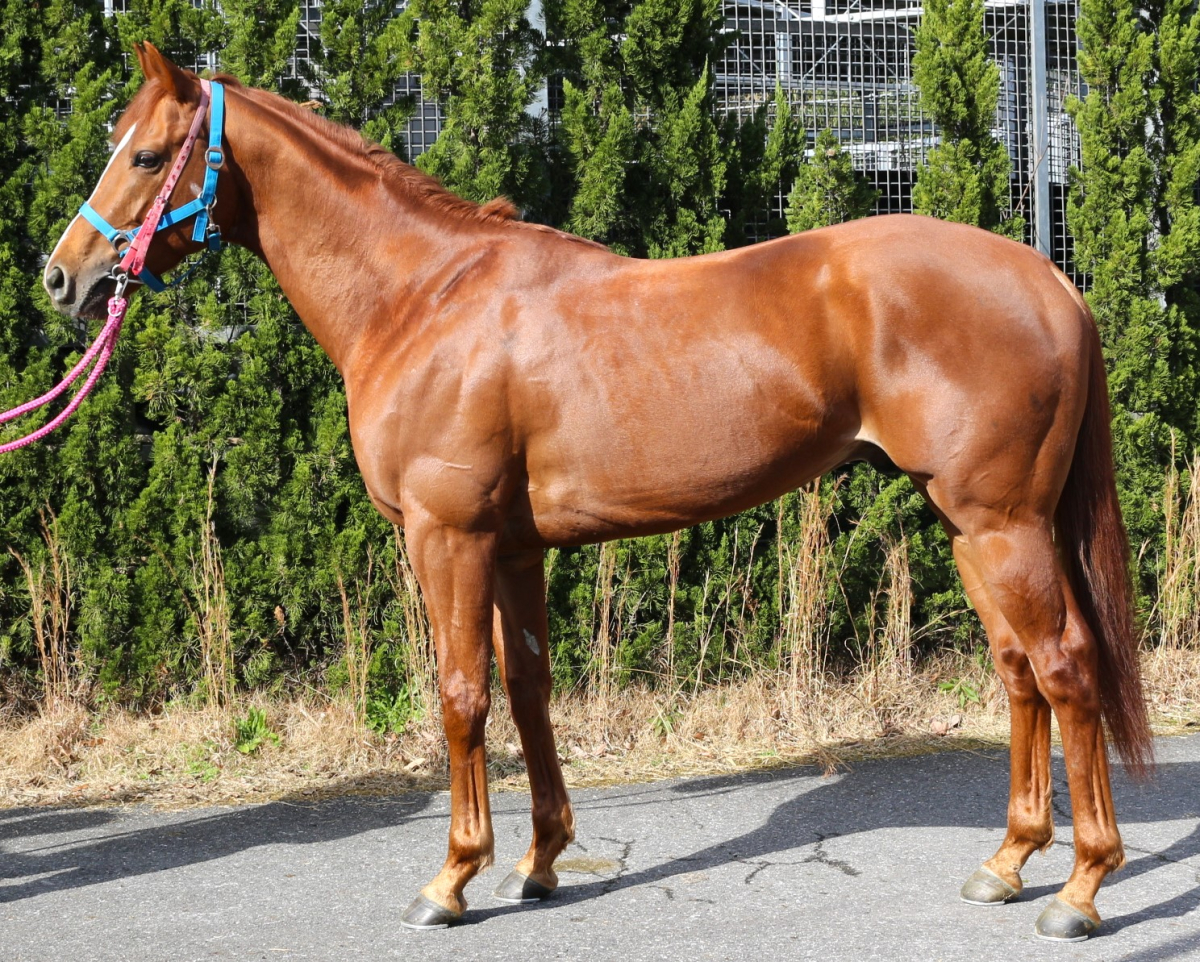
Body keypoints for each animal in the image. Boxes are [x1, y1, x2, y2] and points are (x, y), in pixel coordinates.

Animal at [41, 42, 1151, 942]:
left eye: (147, 157)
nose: (63, 277)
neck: (424, 299)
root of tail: (1049, 280)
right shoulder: (514, 547)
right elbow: (530, 691)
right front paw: (538, 864)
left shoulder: (448, 538)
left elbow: (461, 697)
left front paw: (451, 879)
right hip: (969, 527)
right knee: (1019, 671)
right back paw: (1008, 862)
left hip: (1003, 525)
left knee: (1064, 666)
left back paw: (1081, 888)